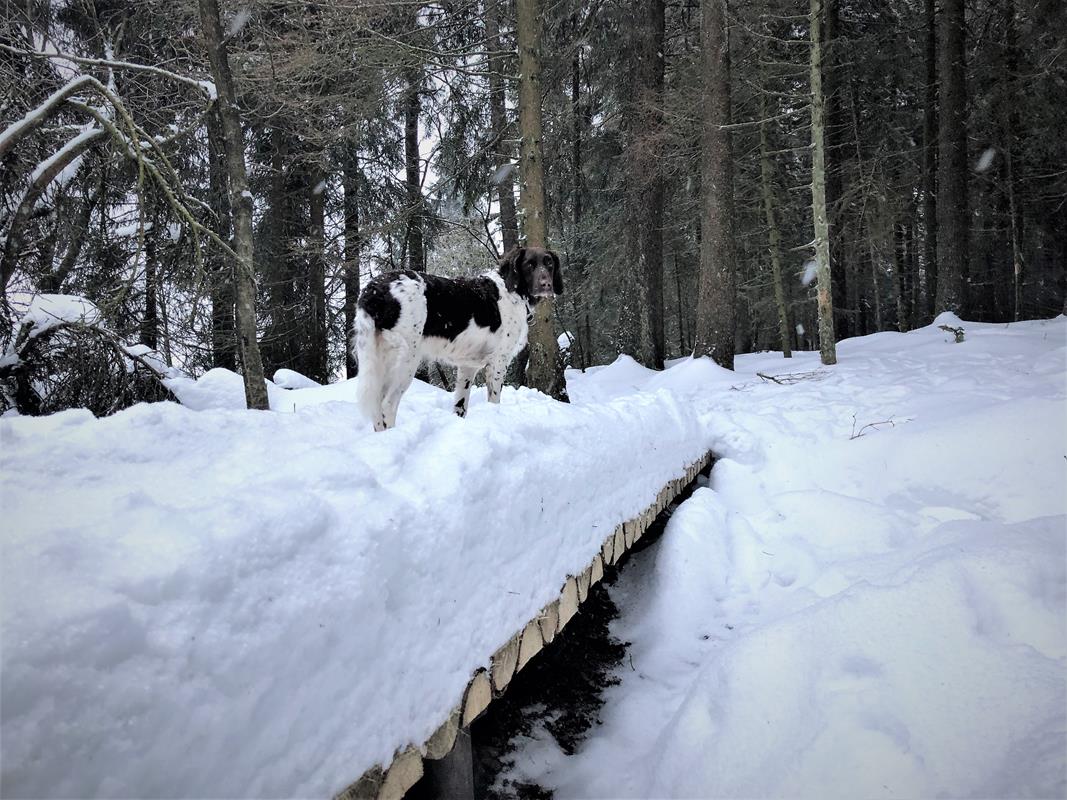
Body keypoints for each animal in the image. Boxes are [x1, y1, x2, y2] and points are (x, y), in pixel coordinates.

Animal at [354, 246, 563, 433]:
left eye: (549, 263)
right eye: (529, 264)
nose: (546, 285)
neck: (513, 290)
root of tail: (375, 289)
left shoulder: (467, 367)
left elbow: (460, 406)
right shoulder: (498, 362)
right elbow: (494, 400)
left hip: (377, 362)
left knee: (376, 409)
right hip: (406, 362)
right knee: (387, 405)